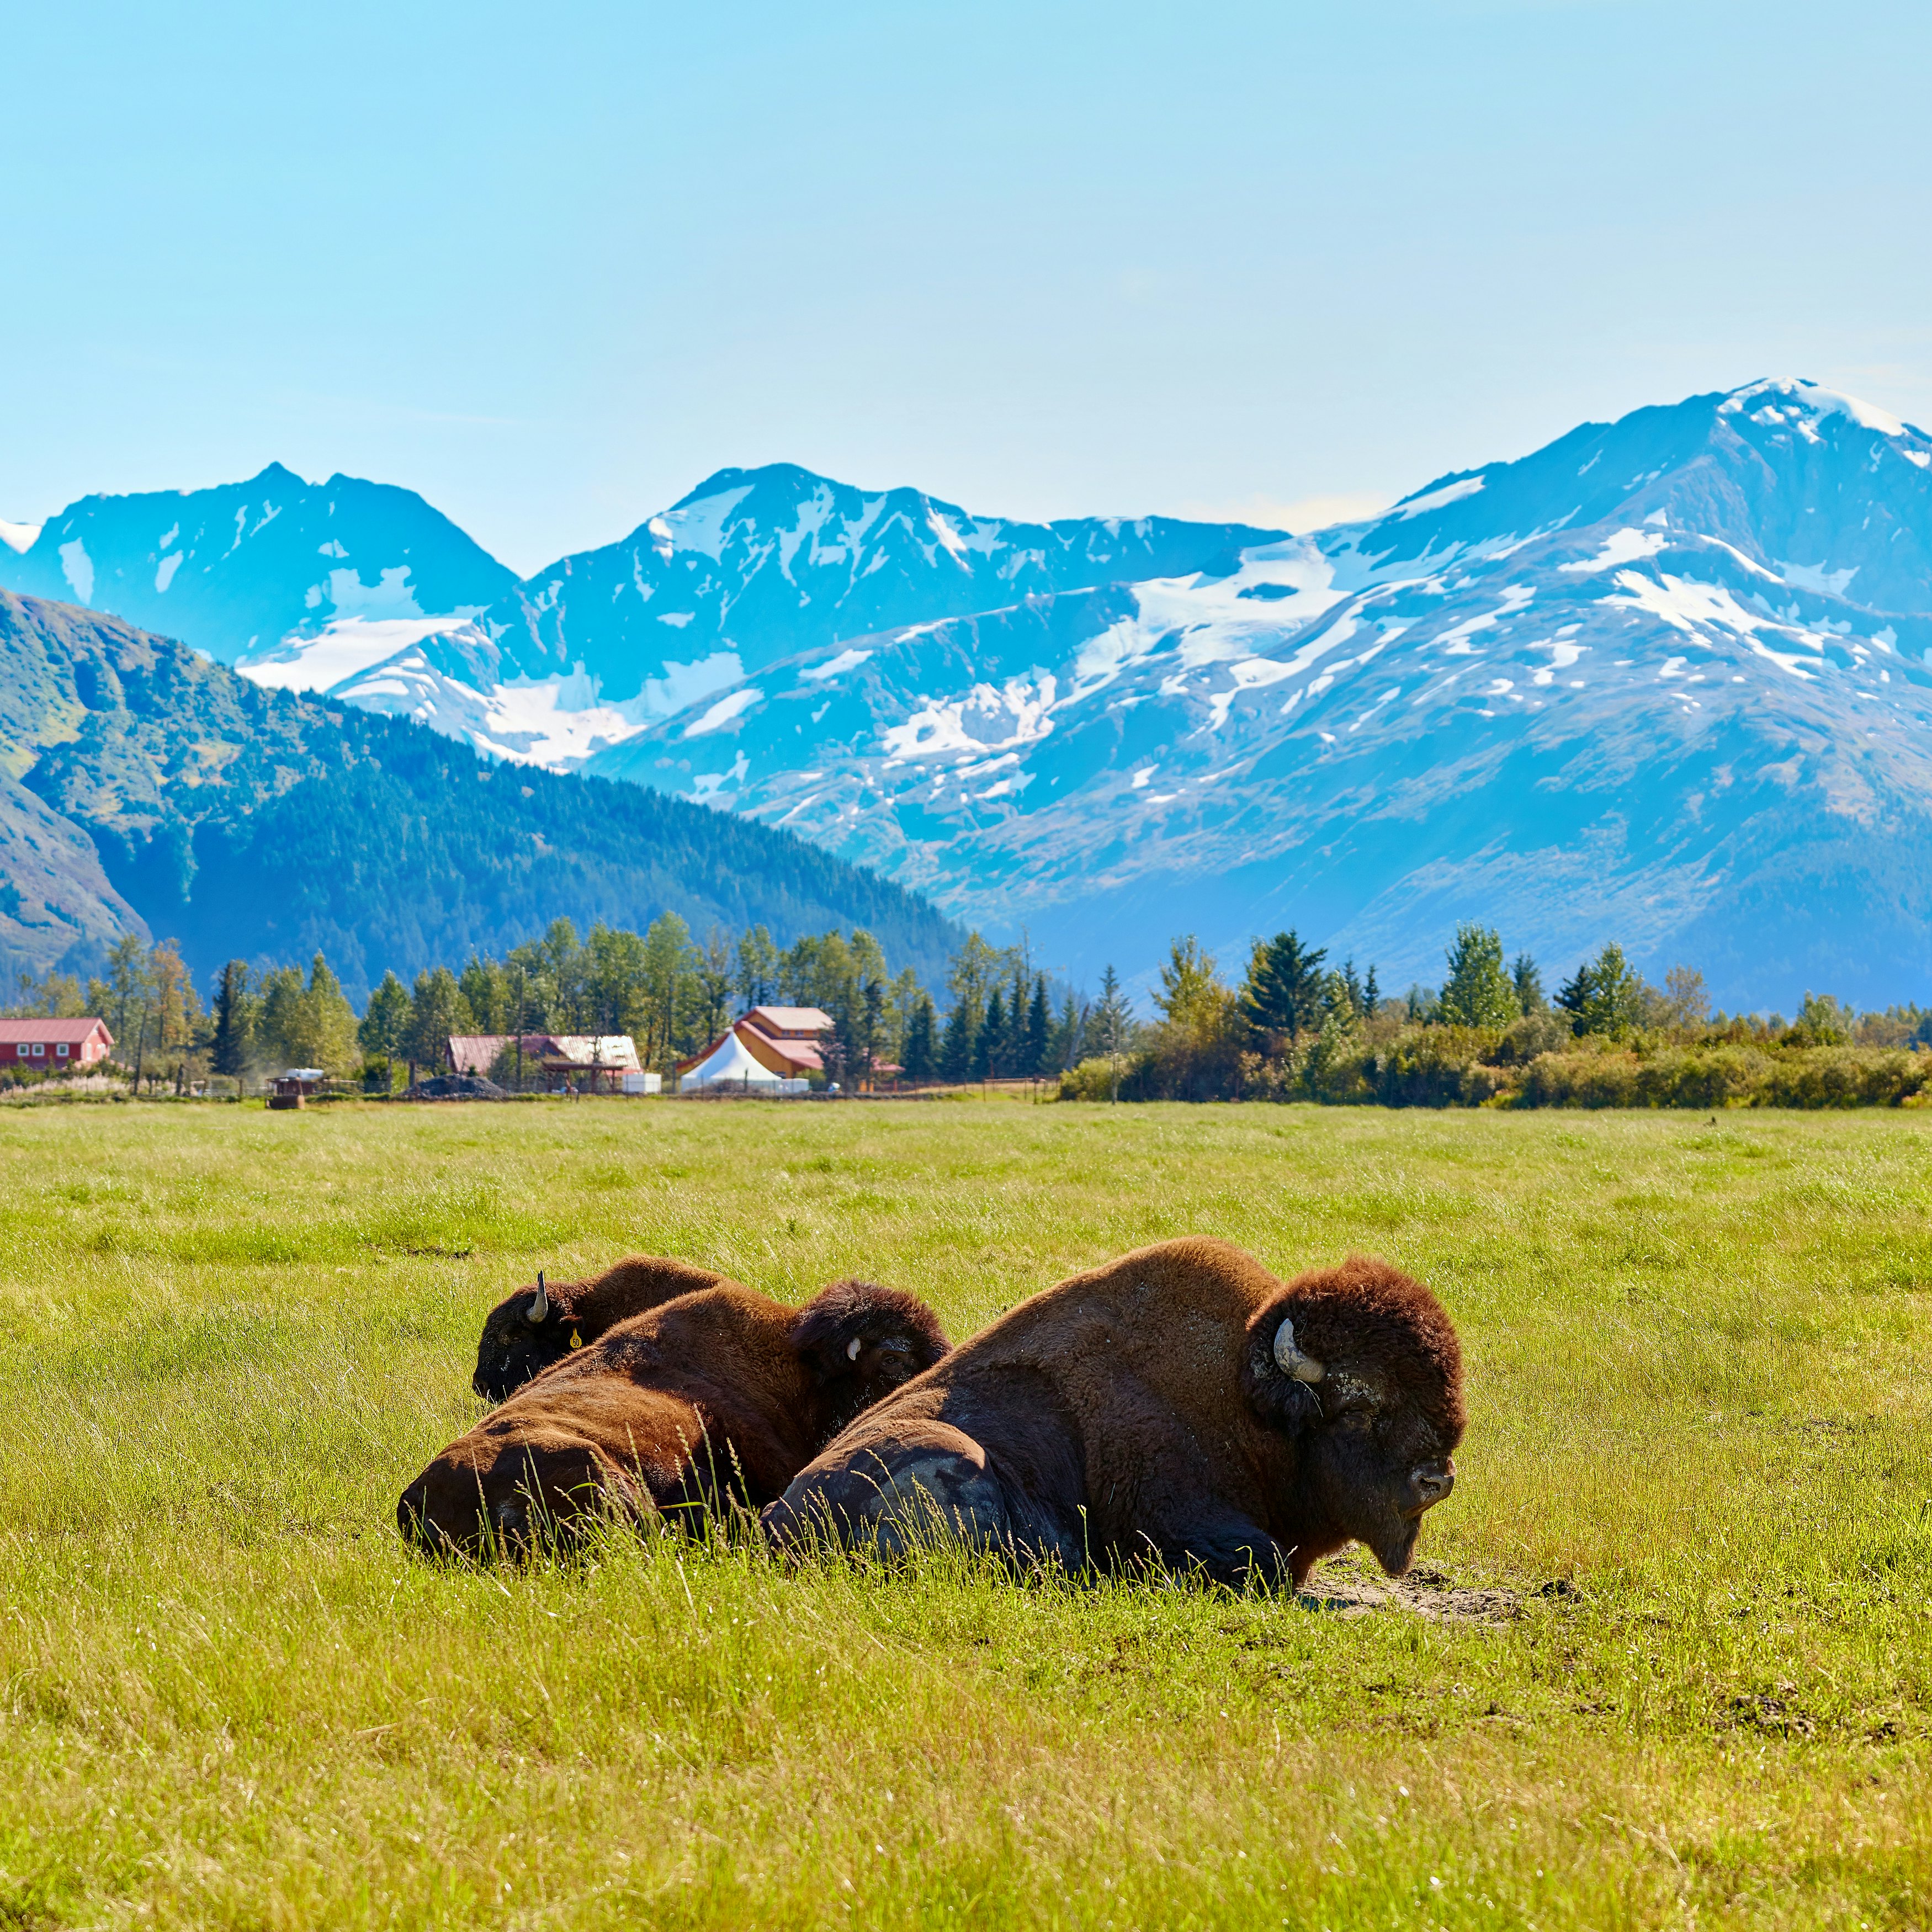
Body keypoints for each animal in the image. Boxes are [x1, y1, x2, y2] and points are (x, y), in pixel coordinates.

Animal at [761, 1238, 1464, 1589]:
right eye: (1358, 1405)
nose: (1435, 1479)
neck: (1242, 1396)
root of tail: (774, 1516)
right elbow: (1261, 1560)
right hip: (952, 1456)